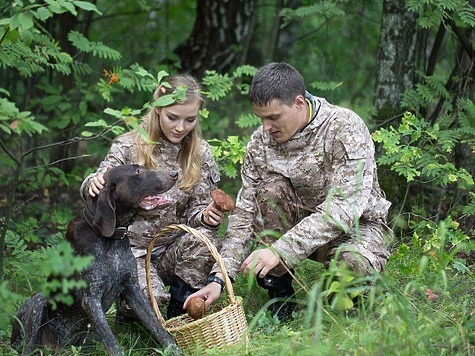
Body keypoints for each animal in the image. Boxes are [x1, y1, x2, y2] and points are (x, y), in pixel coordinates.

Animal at [11, 165, 182, 354]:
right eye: (137, 172)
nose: (175, 173)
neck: (109, 238)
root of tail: (59, 348)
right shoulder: (91, 299)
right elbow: (112, 342)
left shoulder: (133, 289)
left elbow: (157, 327)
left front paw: (176, 350)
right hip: (37, 303)